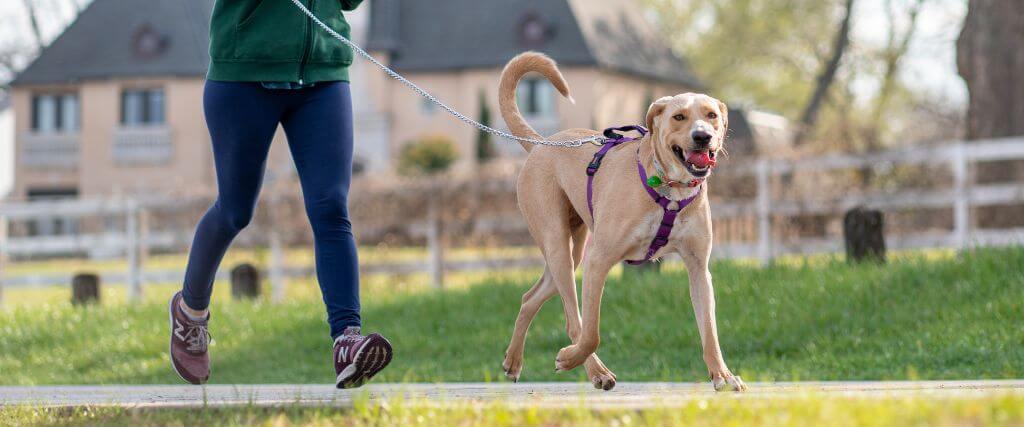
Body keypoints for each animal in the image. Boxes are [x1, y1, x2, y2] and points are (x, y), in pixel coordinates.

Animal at [495, 51, 745, 391]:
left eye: (711, 115)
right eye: (679, 117)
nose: (703, 136)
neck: (669, 189)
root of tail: (543, 143)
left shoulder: (698, 269)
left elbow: (709, 330)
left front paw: (722, 375)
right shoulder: (598, 260)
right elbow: (592, 332)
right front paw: (570, 358)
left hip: (572, 252)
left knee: (530, 298)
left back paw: (513, 361)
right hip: (558, 243)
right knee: (574, 322)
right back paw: (592, 369)